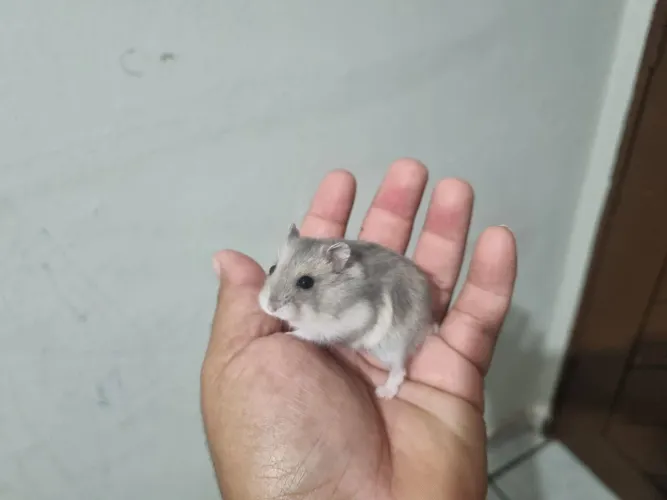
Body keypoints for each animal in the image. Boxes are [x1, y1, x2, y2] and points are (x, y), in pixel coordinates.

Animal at [258, 223, 436, 399]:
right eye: (272, 268)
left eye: (306, 282)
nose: (270, 308)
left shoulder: (354, 319)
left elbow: (313, 333)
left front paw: (290, 334)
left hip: (393, 347)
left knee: (399, 371)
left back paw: (383, 393)